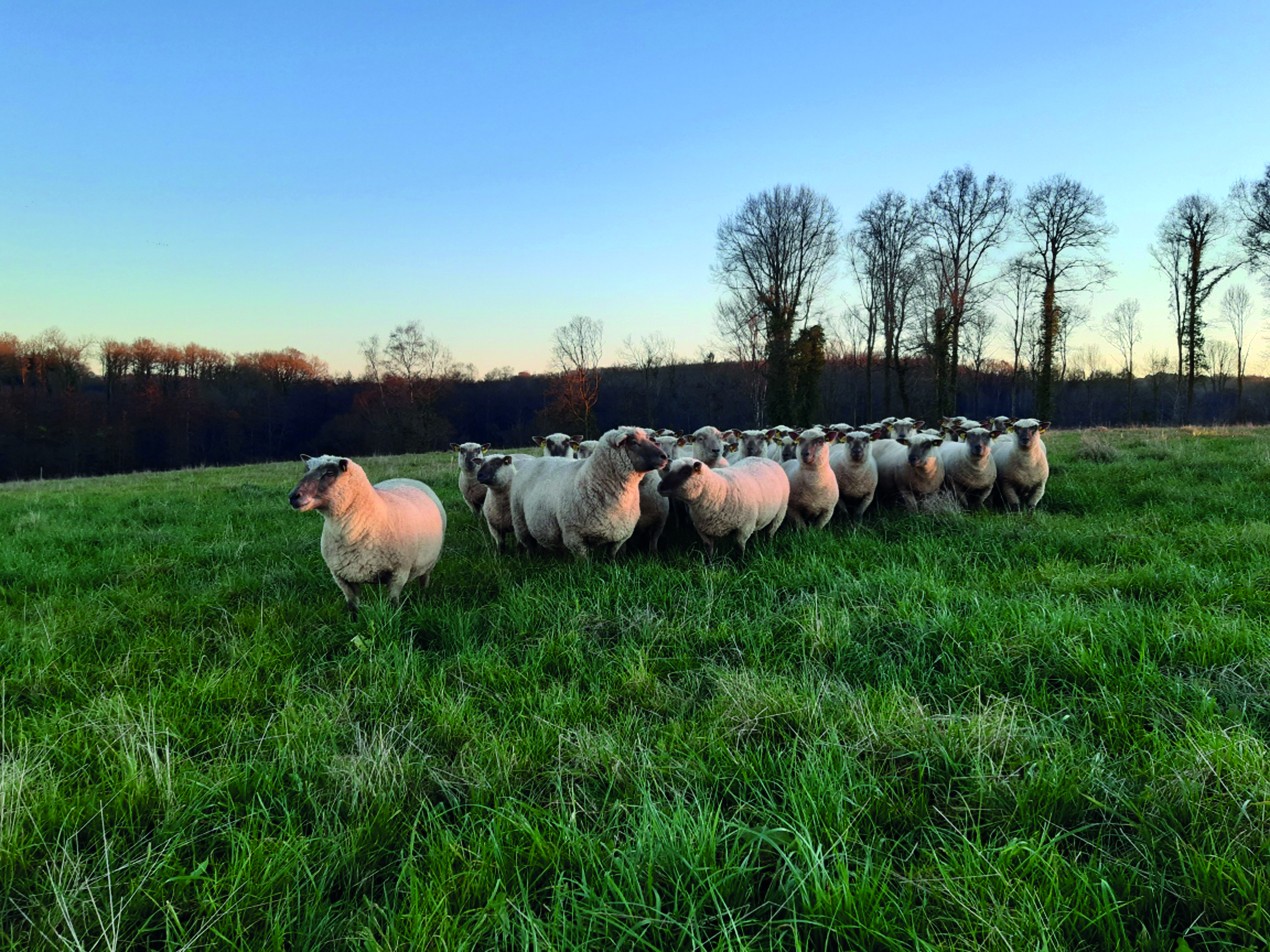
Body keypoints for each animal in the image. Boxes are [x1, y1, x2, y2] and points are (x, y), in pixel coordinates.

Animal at [290, 454, 449, 619]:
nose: (293, 496)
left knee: (424, 578)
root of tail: (406, 478)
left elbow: (393, 603)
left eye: (329, 473)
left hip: (430, 561)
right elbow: (352, 606)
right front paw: (353, 622)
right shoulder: (341, 577)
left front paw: (393, 618)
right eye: (306, 470)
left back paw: (423, 594)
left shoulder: (399, 573)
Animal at [505, 426, 670, 558]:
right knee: (529, 545)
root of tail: (536, 460)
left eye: (651, 439)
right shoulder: (574, 536)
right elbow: (584, 564)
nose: (665, 457)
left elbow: (611, 557)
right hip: (520, 522)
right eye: (634, 442)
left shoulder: (619, 536)